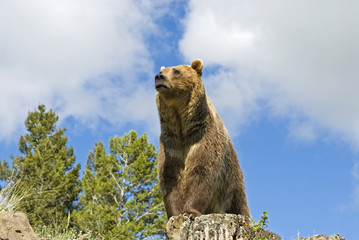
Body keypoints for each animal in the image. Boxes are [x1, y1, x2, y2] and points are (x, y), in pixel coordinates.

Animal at [155, 59, 250, 218]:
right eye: (161, 71)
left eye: (176, 71)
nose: (159, 77)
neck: (183, 127)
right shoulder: (171, 143)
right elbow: (170, 177)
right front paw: (175, 214)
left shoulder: (203, 137)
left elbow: (201, 171)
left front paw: (190, 211)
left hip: (233, 186)